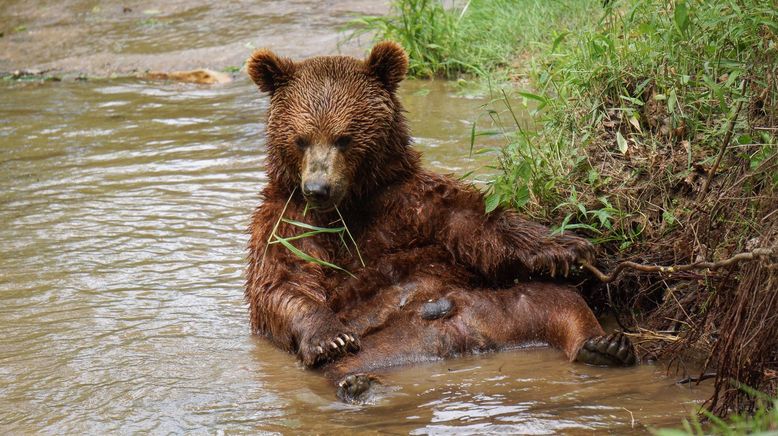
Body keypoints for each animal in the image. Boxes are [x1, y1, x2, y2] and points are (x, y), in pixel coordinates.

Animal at [246, 42, 632, 404]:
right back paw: (359, 385)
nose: (317, 188)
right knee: (344, 365)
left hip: (505, 306)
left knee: (559, 300)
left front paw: (570, 248)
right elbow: (282, 281)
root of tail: (454, 342)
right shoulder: (289, 222)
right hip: (369, 348)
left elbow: (482, 227)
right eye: (301, 139)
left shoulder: (416, 201)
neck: (354, 203)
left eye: (344, 138)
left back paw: (603, 346)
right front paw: (329, 337)